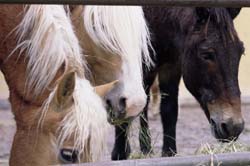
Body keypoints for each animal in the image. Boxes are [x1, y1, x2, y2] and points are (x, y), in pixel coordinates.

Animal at [112, 7, 245, 160]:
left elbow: (169, 110)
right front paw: (119, 154)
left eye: (241, 51)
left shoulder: (171, 66)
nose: (234, 127)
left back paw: (146, 147)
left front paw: (169, 152)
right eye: (206, 54)